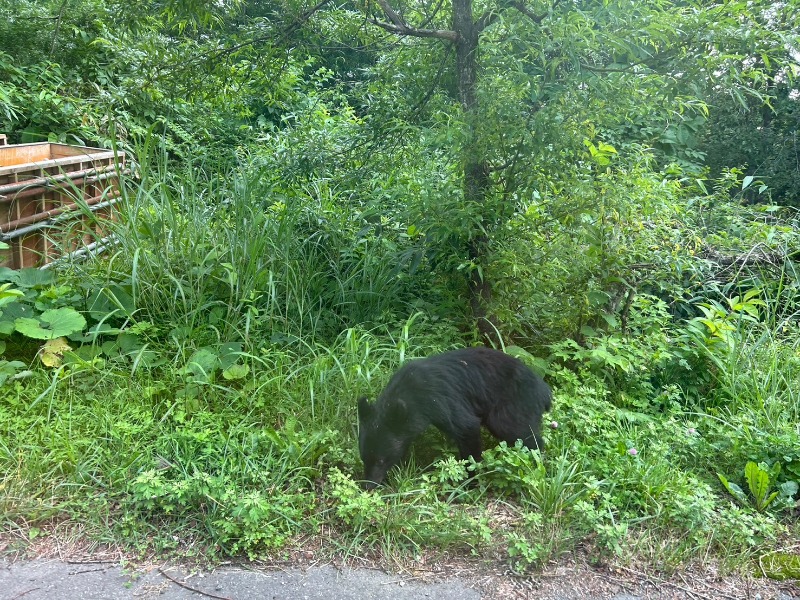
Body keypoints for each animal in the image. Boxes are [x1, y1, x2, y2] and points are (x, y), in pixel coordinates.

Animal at [360, 346, 552, 488]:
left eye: (381, 460)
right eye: (364, 458)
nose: (368, 486)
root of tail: (544, 391)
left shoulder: (439, 400)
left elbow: (467, 427)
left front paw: (469, 480)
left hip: (513, 405)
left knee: (522, 434)